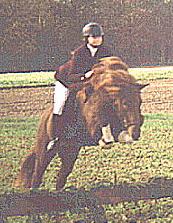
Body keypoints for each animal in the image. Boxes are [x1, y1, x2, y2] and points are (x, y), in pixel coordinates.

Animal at [14, 56, 148, 190]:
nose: (135, 133)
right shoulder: (92, 124)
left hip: (70, 152)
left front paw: (124, 137)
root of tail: (44, 117)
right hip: (45, 149)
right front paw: (107, 141)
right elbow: (101, 129)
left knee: (63, 174)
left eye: (140, 102)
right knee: (38, 171)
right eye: (125, 103)